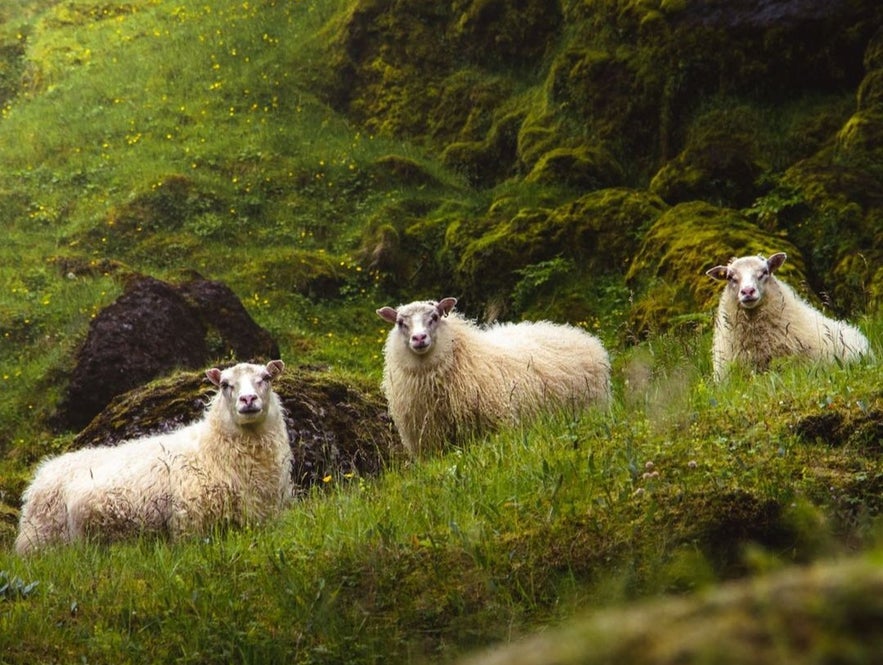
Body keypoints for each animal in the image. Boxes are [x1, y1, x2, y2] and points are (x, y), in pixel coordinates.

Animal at [14, 360, 290, 552]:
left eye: (266, 378)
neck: (212, 450)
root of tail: (42, 474)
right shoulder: (189, 520)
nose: (248, 399)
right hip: (43, 538)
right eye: (225, 385)